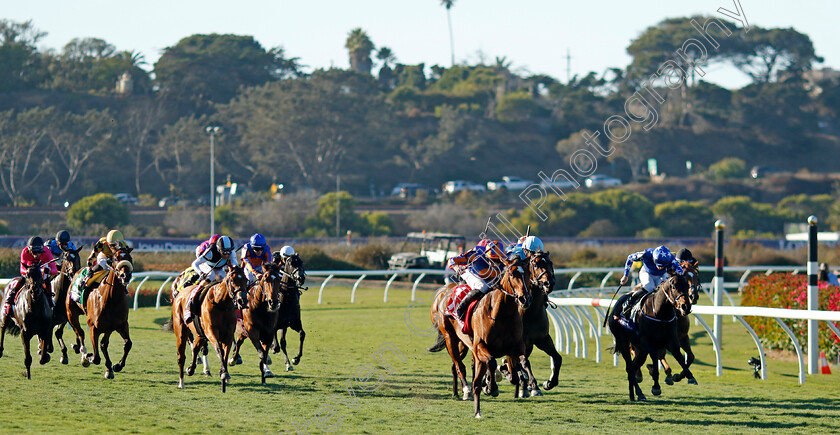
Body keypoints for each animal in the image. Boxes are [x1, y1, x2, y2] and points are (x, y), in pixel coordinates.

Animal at [66, 247, 134, 380]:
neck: (111, 298)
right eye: (115, 258)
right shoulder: (93, 327)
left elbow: (127, 343)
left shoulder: (119, 324)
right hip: (71, 314)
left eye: (130, 258)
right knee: (80, 333)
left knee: (102, 343)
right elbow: (96, 357)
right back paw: (83, 354)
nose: (125, 275)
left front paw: (116, 366)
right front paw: (89, 357)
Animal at [172, 264, 248, 394]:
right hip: (181, 331)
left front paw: (225, 373)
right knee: (181, 356)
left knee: (196, 347)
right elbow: (219, 350)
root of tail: (180, 293)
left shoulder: (228, 335)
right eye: (232, 280)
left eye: (246, 280)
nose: (242, 300)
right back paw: (181, 383)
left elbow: (225, 353)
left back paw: (191, 369)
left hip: (200, 333)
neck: (221, 303)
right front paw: (224, 373)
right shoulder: (211, 332)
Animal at [430, 258, 540, 420]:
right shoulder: (481, 346)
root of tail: (443, 291)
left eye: (527, 273)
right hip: (450, 337)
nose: (525, 299)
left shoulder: (516, 346)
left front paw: (533, 385)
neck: (501, 314)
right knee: (459, 366)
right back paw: (467, 391)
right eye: (512, 274)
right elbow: (492, 362)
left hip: (463, 343)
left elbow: (524, 362)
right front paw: (491, 387)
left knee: (456, 366)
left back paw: (458, 393)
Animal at [608, 274, 692, 404]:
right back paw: (639, 393)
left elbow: (681, 359)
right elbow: (656, 363)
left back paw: (634, 395)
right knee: (630, 368)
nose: (685, 306)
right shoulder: (648, 343)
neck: (659, 313)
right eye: (673, 286)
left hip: (641, 350)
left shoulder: (673, 341)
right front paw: (656, 387)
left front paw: (687, 376)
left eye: (688, 286)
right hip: (624, 343)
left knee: (632, 367)